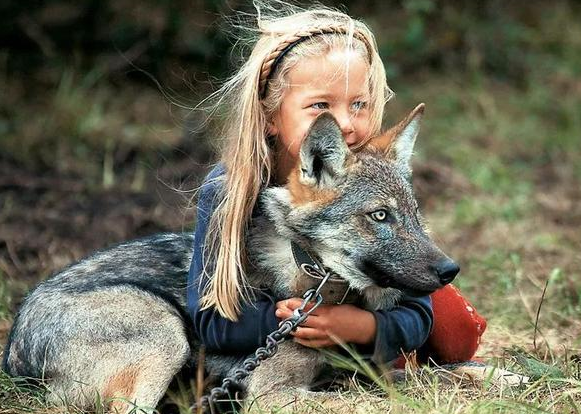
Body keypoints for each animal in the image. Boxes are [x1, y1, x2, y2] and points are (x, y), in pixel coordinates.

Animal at [2, 104, 460, 410]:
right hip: (168, 335)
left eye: (414, 215)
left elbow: (454, 371)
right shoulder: (275, 395)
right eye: (379, 215)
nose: (450, 270)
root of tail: (14, 348)